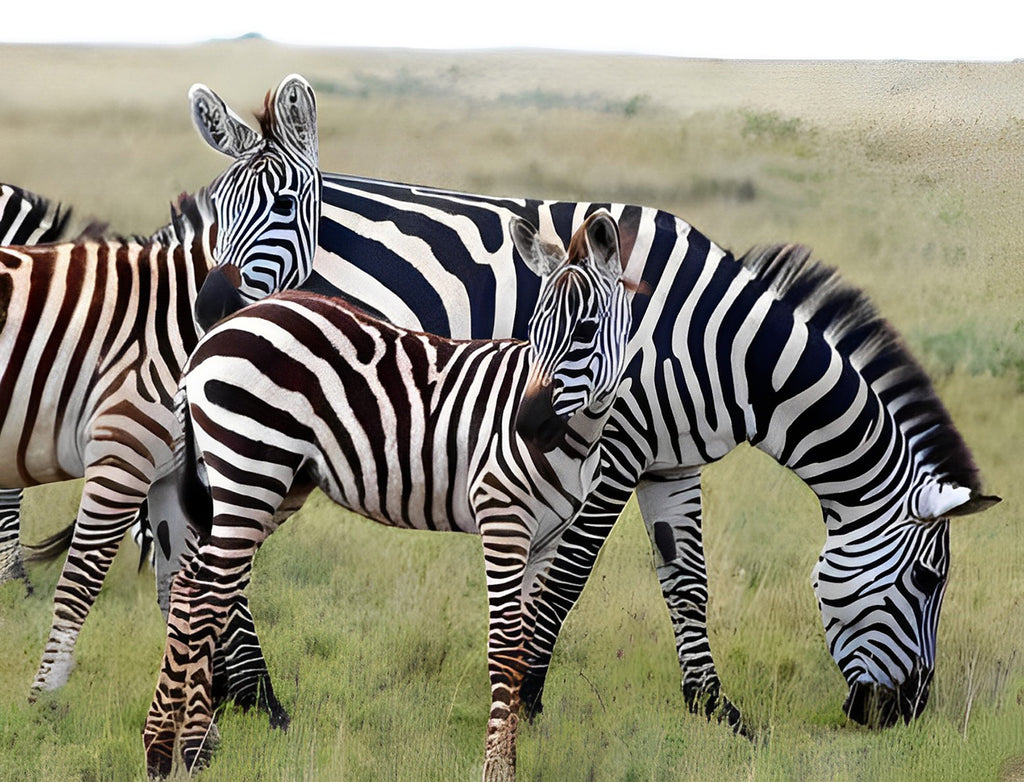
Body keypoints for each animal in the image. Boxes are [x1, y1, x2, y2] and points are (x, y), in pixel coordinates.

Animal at [0, 73, 319, 696]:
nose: (212, 305)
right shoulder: (120, 453)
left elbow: (178, 592)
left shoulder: (169, 471)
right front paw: (43, 700)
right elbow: (78, 583)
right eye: (223, 208)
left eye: (286, 205)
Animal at [142, 210, 638, 777]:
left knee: (192, 585)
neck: (579, 438)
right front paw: (495, 768)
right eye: (533, 331)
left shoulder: (547, 538)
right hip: (249, 468)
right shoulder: (502, 517)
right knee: (205, 595)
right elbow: (506, 649)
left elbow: (527, 649)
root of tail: (216, 334)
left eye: (586, 330)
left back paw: (182, 747)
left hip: (268, 484)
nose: (526, 425)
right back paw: (170, 749)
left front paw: (512, 759)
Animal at [192, 166, 999, 732]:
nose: (906, 717)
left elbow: (687, 582)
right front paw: (528, 700)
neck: (724, 350)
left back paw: (233, 691)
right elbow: (566, 582)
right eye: (929, 581)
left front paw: (714, 708)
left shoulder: (672, 463)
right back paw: (254, 698)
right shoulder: (610, 449)